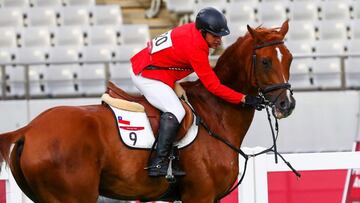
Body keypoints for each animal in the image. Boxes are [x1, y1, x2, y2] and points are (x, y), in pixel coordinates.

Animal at [0, 19, 296, 203]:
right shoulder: (200, 195)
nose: (287, 105)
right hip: (73, 196)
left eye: (290, 58)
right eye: (266, 61)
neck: (217, 114)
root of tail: (29, 129)